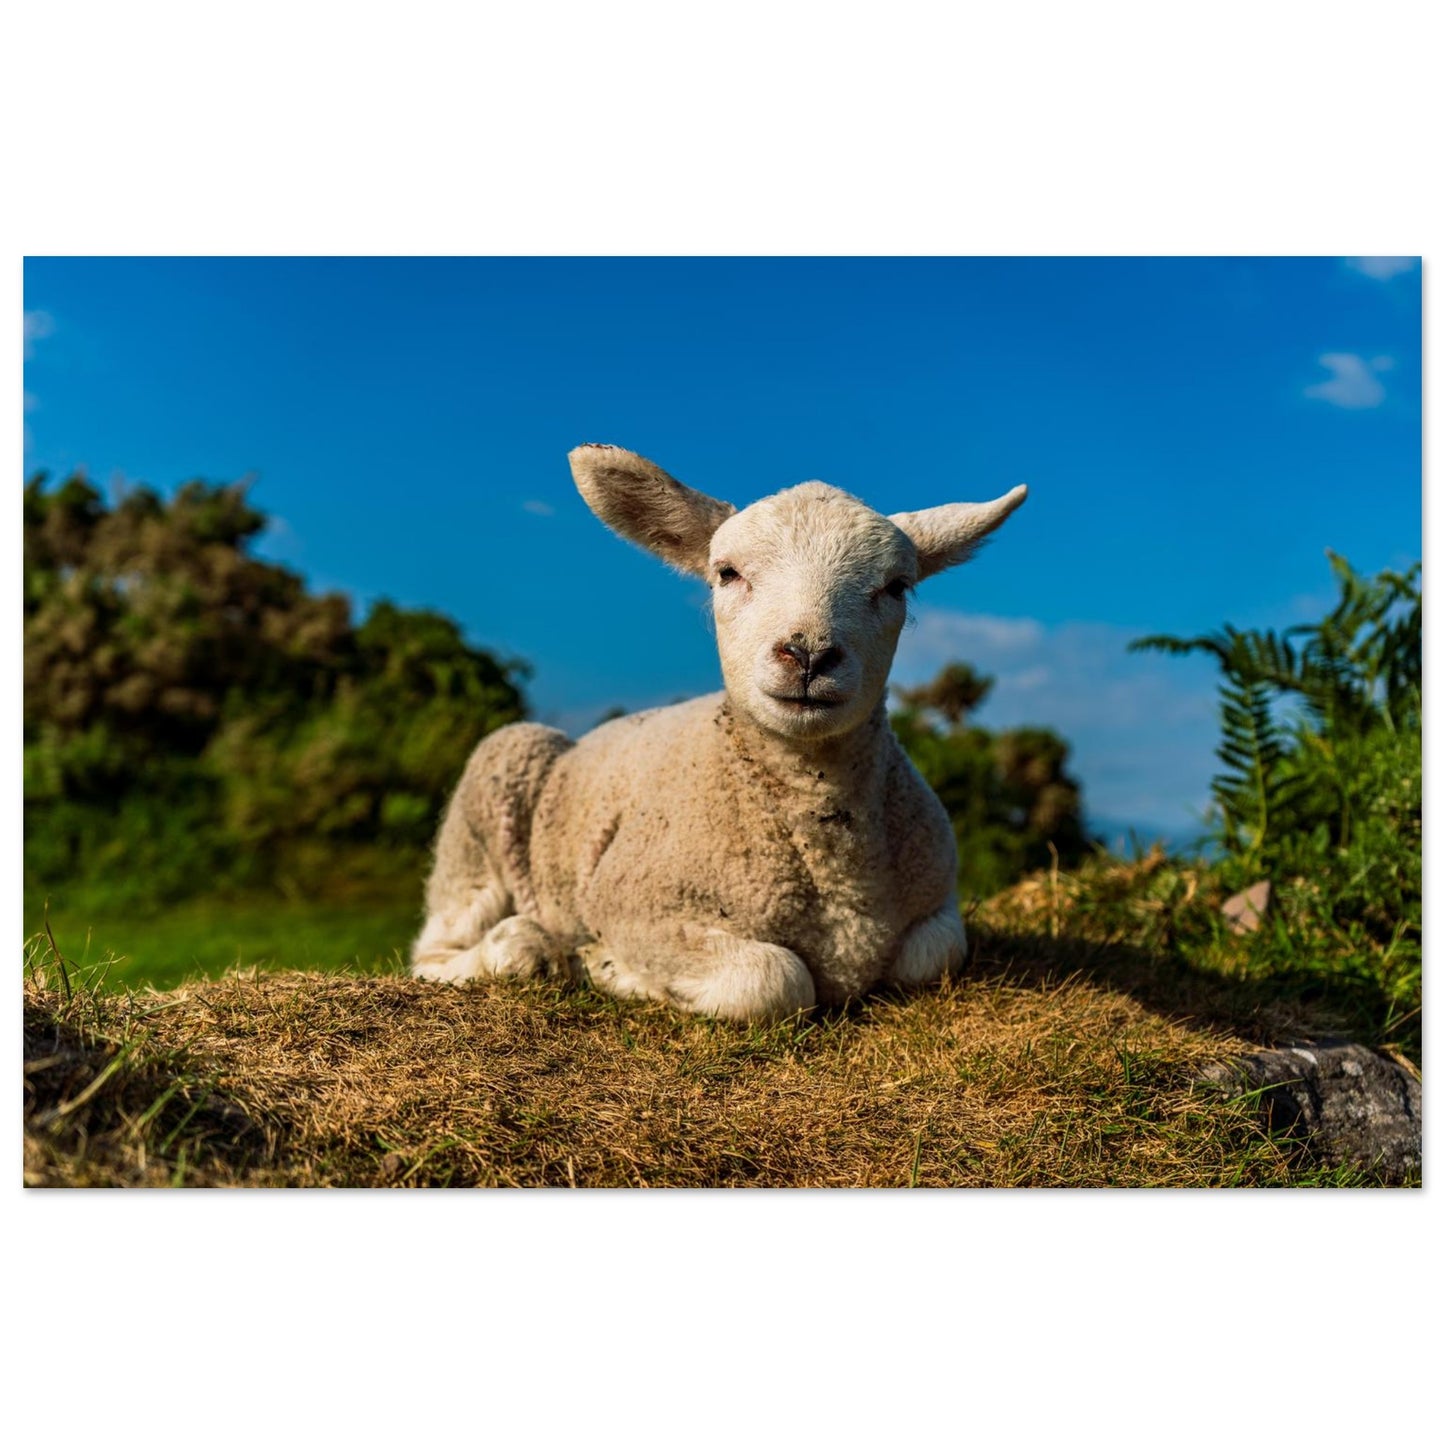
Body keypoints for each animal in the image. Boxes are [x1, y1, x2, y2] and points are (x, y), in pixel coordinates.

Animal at [411, 444, 1027, 1021]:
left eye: (897, 586)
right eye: (727, 573)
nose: (808, 654)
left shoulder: (938, 903)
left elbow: (933, 956)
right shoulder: (634, 905)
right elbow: (774, 980)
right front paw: (609, 967)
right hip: (494, 789)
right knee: (435, 952)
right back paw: (524, 948)